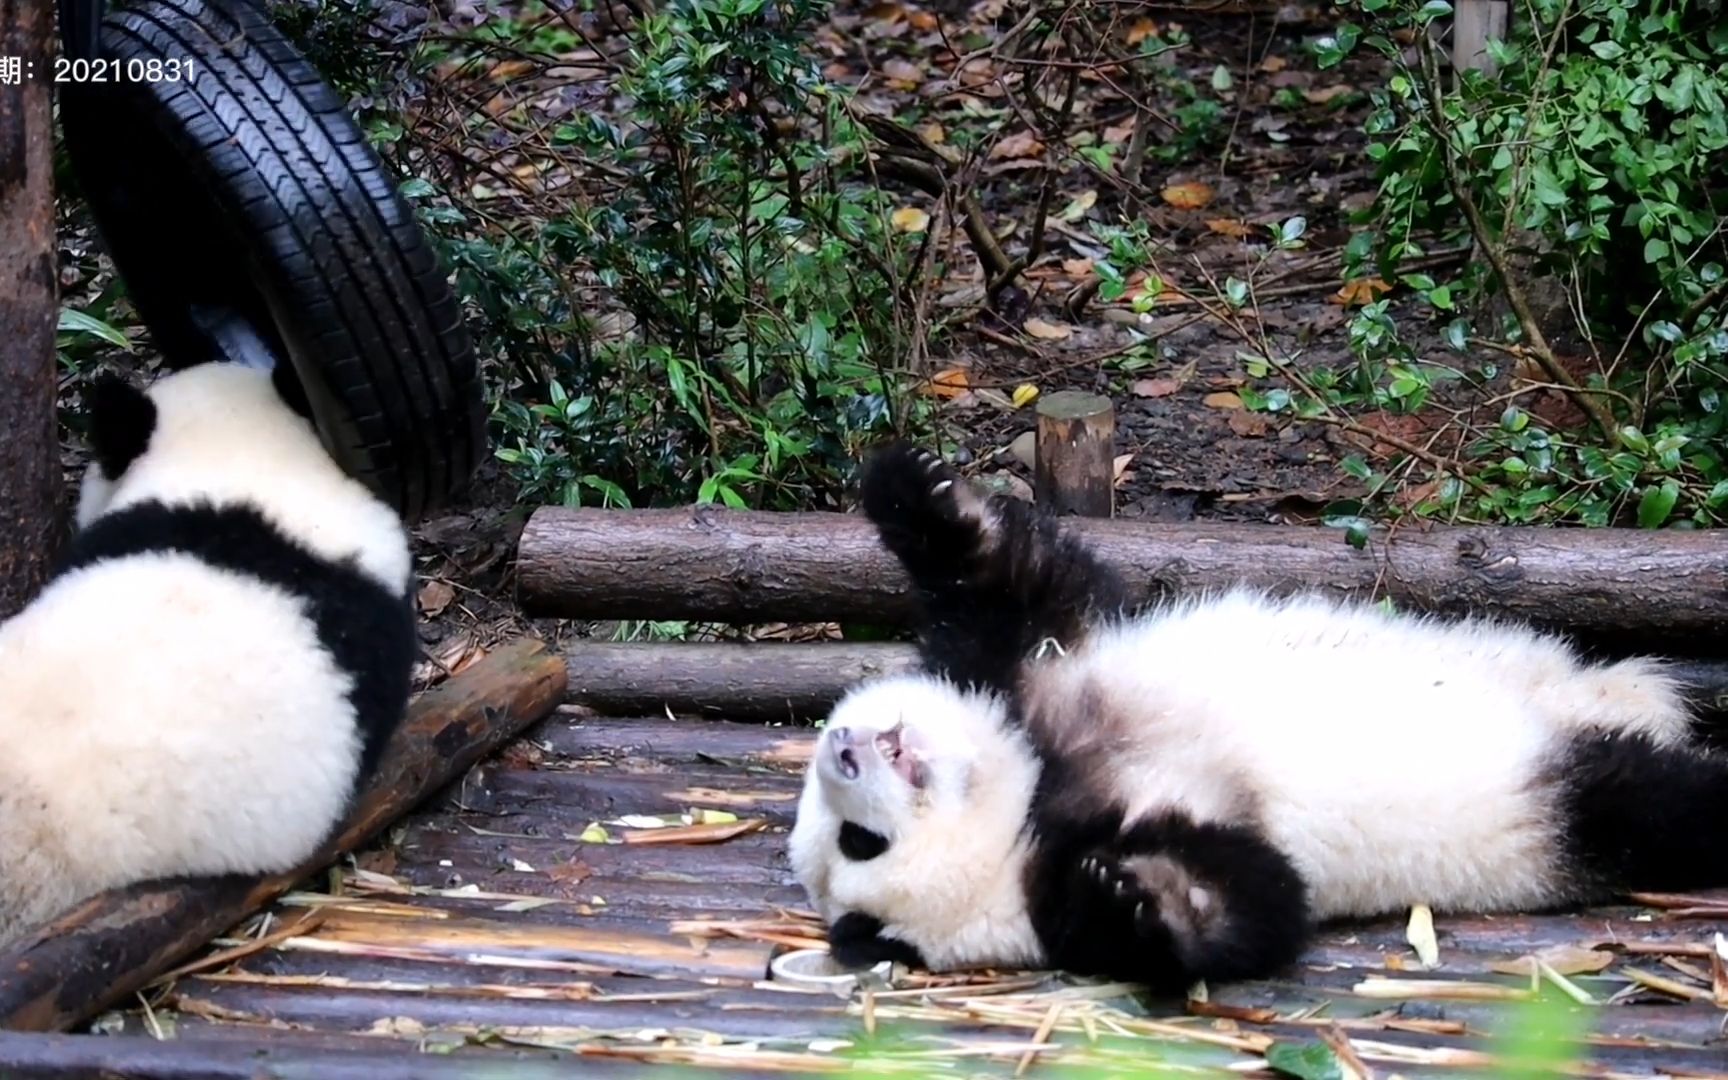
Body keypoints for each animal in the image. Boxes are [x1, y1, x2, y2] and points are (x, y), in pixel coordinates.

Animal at [791, 442, 1728, 988]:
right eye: (860, 843)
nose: (844, 748)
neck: (1035, 787)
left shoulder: (1035, 671)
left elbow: (1019, 585)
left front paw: (917, 485)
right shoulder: (1071, 867)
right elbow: (1259, 905)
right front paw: (1135, 896)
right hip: (1543, 803)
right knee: (1651, 805)